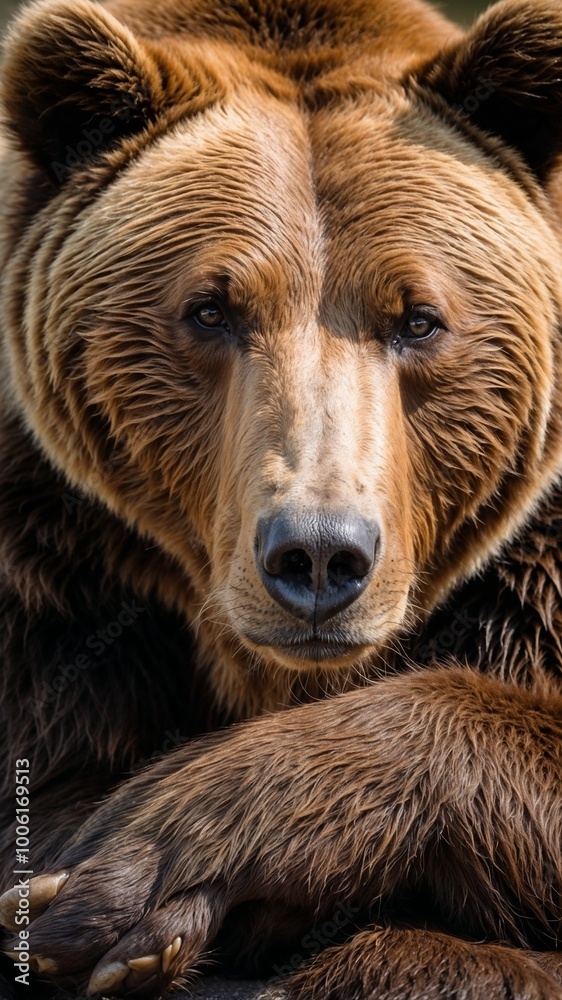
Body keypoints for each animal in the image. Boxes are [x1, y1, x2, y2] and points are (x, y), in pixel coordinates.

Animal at [0, 0, 561, 997]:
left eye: (419, 318)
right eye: (210, 309)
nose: (320, 555)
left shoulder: (531, 583)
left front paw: (146, 861)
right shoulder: (51, 579)